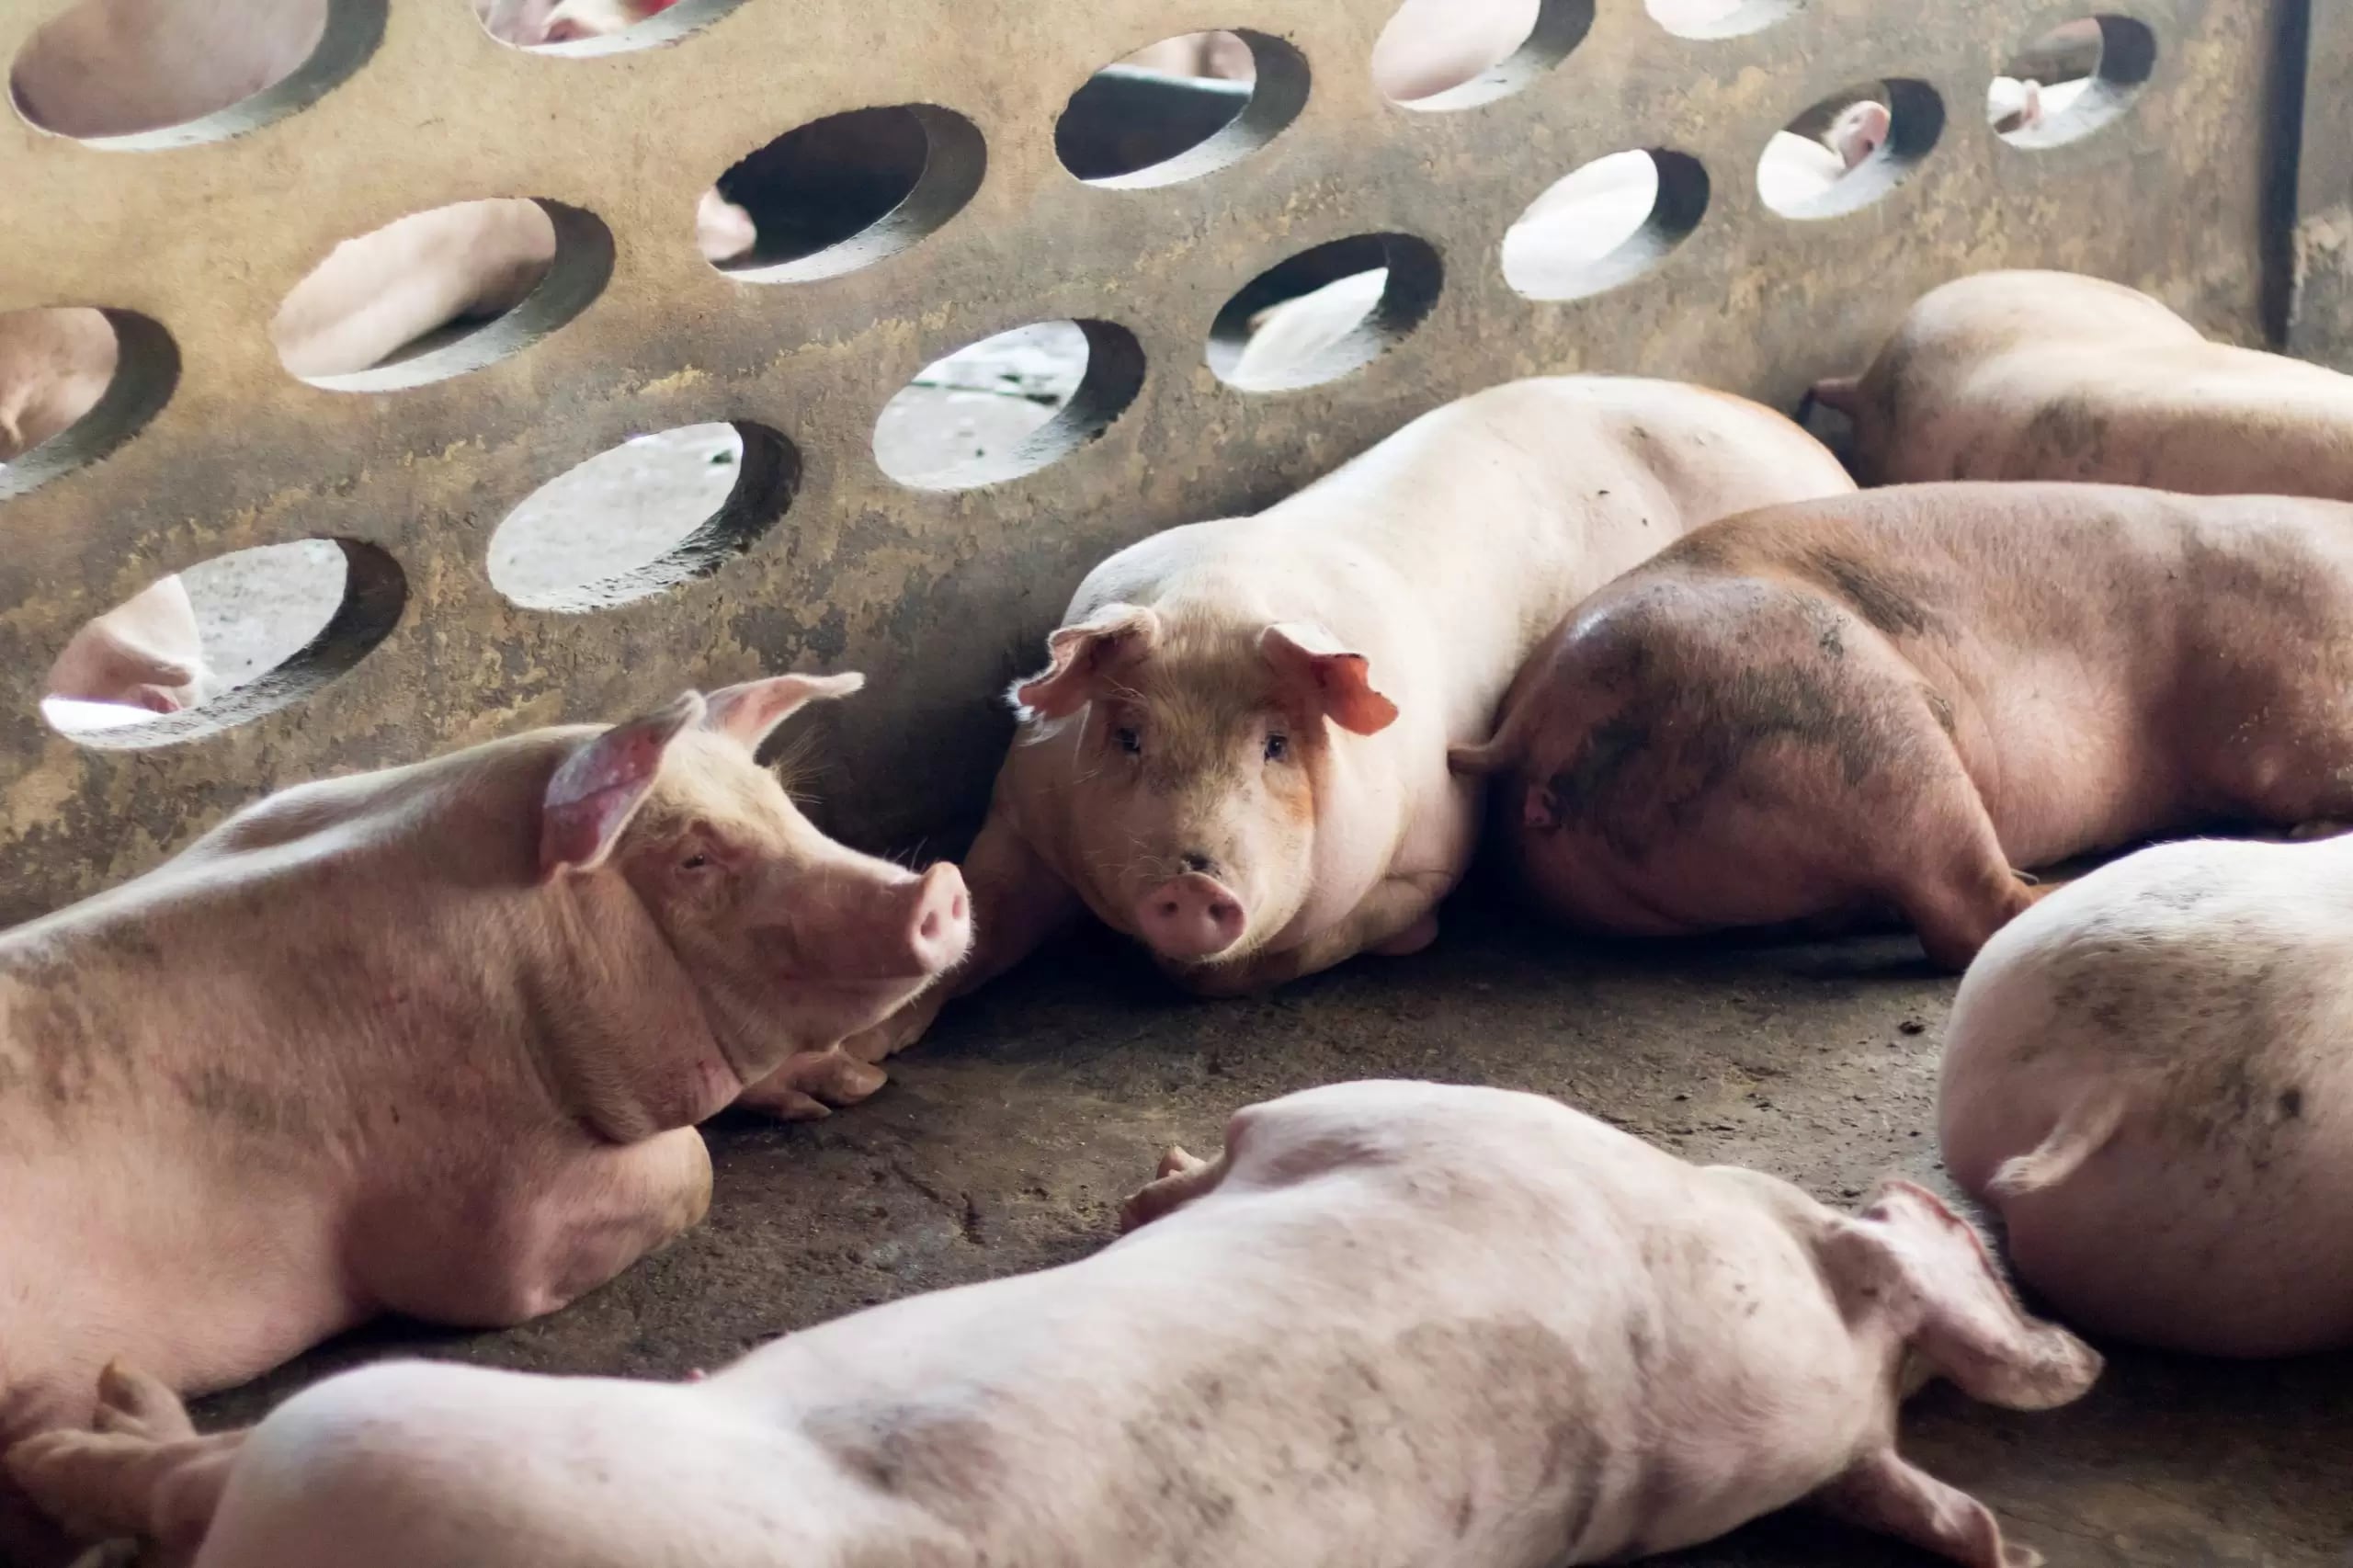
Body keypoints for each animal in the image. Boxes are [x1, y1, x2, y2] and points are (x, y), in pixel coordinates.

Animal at [0, 676, 970, 1566]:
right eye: (694, 860)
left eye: (783, 802)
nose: (939, 886)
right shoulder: (475, 1218)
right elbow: (684, 1166)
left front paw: (846, 1084)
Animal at [772, 378, 1855, 1106]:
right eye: (1128, 735)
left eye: (1275, 745)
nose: (1191, 882)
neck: (1221, 595)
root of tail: (1811, 445)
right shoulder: (1021, 816)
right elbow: (979, 909)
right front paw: (840, 1075)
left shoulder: (1429, 856)